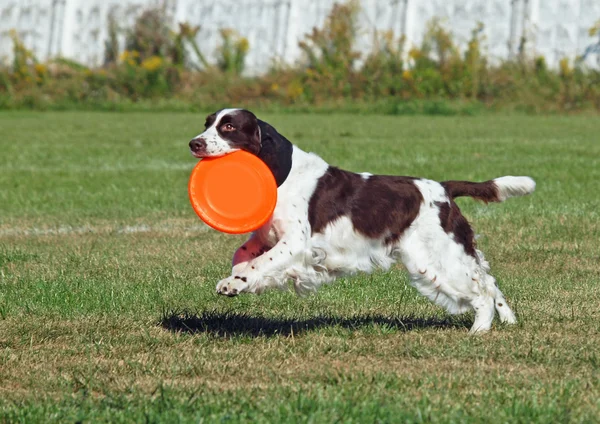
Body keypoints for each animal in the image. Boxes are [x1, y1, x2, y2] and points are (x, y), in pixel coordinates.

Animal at [188, 110, 536, 334]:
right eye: (207, 123)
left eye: (228, 126)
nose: (194, 143)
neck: (283, 175)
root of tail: (444, 188)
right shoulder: (266, 237)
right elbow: (243, 255)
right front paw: (234, 280)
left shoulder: (295, 244)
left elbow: (259, 263)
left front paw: (235, 283)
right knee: (488, 279)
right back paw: (509, 321)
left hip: (436, 258)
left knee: (480, 292)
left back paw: (479, 331)